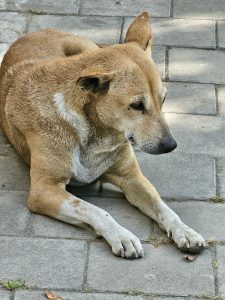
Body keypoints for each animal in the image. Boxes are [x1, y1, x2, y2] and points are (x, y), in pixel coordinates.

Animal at [0, 11, 206, 258]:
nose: (170, 145)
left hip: (85, 47)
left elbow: (163, 206)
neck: (96, 132)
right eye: (136, 105)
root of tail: (37, 32)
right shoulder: (43, 189)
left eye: (163, 99)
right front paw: (122, 236)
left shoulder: (131, 177)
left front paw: (185, 231)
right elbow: (95, 210)